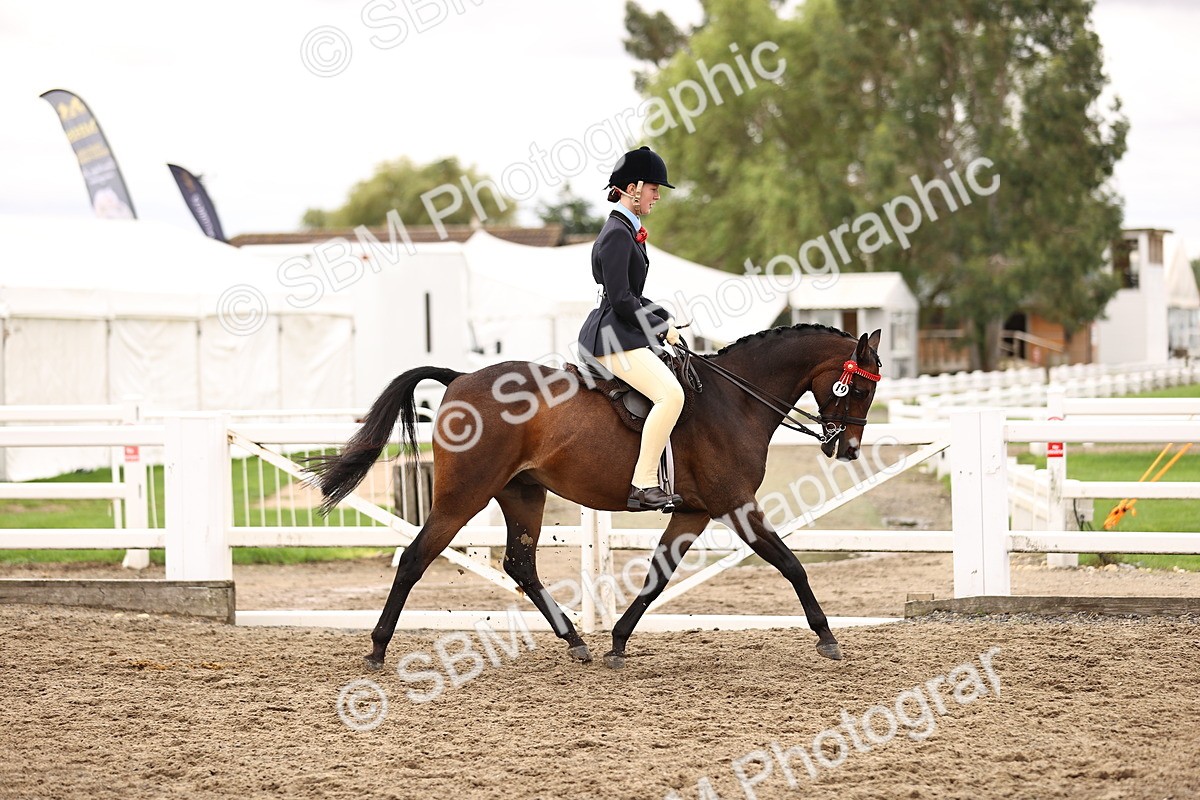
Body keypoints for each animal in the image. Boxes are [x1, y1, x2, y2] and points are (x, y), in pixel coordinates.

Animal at [310, 324, 883, 670]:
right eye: (857, 389)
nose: (849, 448)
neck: (736, 400)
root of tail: (460, 378)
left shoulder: (694, 513)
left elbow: (656, 578)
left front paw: (618, 641)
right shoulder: (735, 505)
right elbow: (792, 565)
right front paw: (827, 636)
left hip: (523, 495)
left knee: (521, 565)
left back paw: (576, 641)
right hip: (463, 496)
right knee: (415, 558)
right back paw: (377, 648)